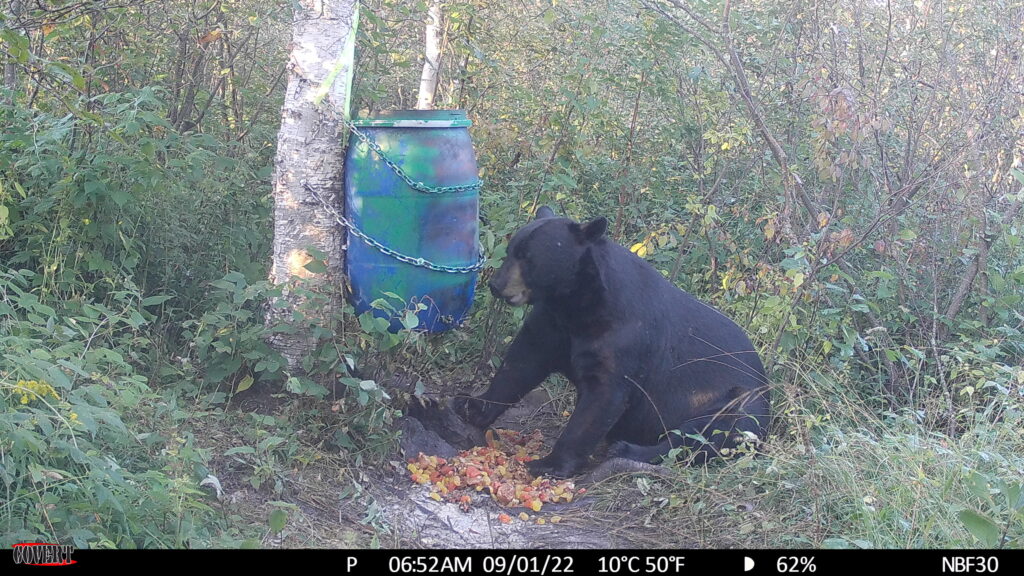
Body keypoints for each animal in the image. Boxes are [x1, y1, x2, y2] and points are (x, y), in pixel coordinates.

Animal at [456, 206, 770, 475]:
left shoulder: (625, 341)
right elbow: (522, 363)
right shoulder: (552, 323)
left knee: (712, 432)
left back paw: (628, 448)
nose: (496, 285)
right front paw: (472, 406)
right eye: (511, 251)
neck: (578, 305)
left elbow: (603, 397)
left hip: (735, 399)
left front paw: (548, 463)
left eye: (528, 258)